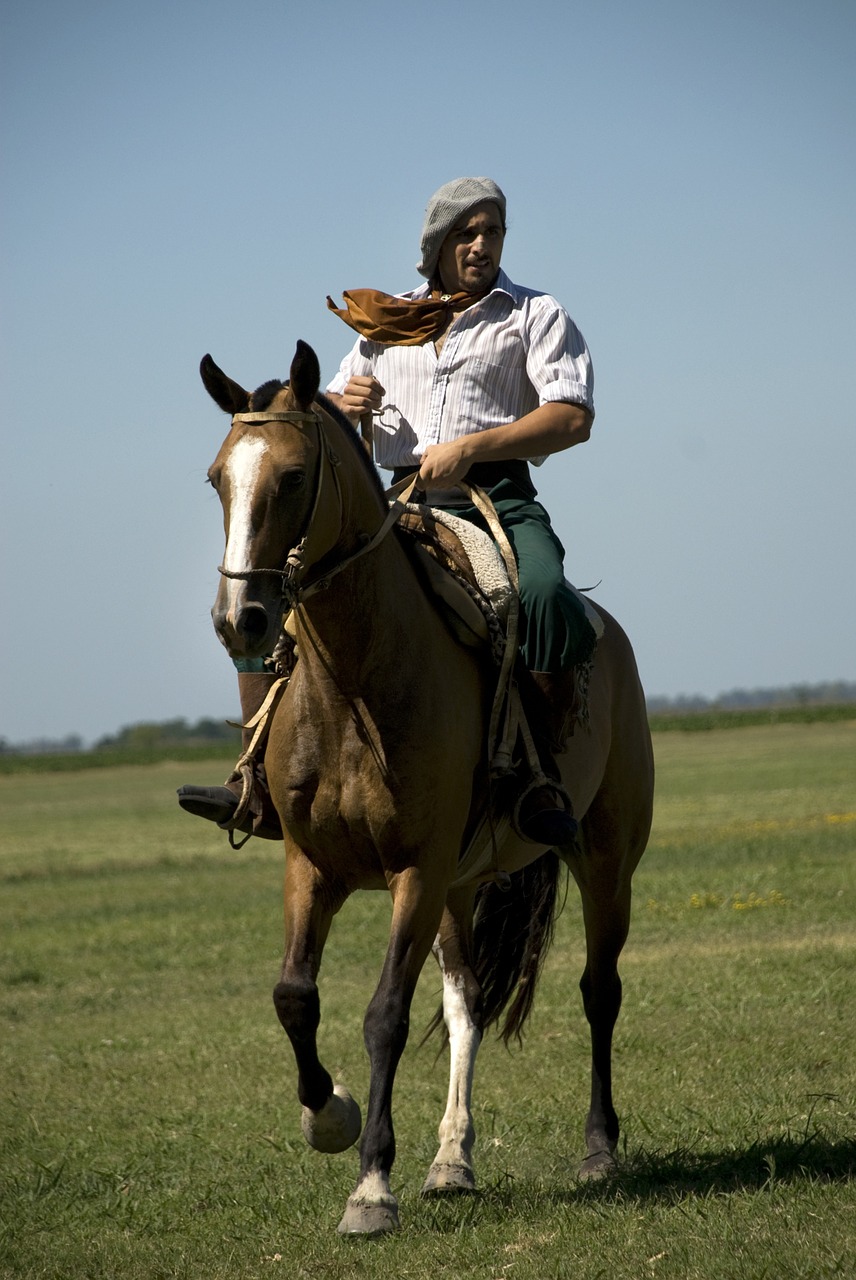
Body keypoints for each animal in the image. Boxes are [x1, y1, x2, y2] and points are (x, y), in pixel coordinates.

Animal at [202, 343, 655, 1239]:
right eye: (216, 479)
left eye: (294, 477)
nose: (242, 619)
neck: (355, 684)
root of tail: (610, 635)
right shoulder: (315, 866)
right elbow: (294, 997)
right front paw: (330, 1116)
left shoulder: (414, 868)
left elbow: (384, 1014)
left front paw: (372, 1187)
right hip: (463, 881)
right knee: (467, 1003)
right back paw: (452, 1160)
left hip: (602, 863)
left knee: (599, 992)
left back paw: (598, 1148)